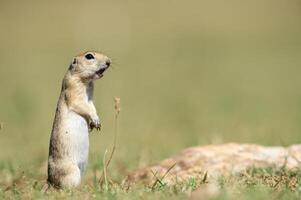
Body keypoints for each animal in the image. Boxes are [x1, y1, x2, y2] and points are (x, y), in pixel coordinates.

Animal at [47, 50, 110, 188]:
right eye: (89, 56)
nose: (109, 61)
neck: (87, 81)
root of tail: (49, 181)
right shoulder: (73, 89)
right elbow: (81, 105)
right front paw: (95, 121)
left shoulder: (90, 98)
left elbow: (92, 106)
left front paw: (95, 124)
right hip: (72, 171)